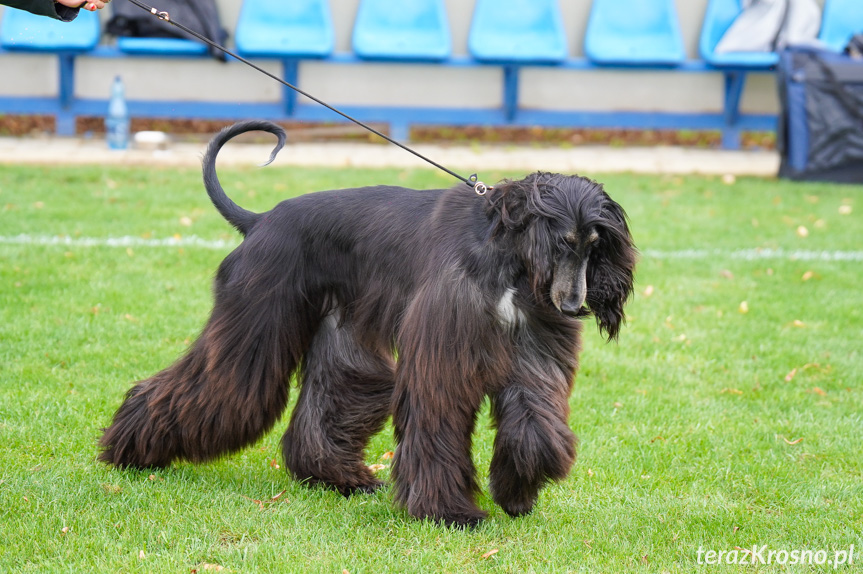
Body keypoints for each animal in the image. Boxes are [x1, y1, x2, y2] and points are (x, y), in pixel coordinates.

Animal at [99, 119, 636, 528]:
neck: (506, 256)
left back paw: (336, 478)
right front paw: (449, 512)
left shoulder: (529, 345)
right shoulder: (444, 352)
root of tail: (260, 220)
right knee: (215, 385)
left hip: (342, 329)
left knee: (331, 397)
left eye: (595, 246)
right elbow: (438, 420)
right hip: (257, 314)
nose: (573, 305)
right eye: (563, 242)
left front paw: (516, 490)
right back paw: (129, 451)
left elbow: (535, 418)